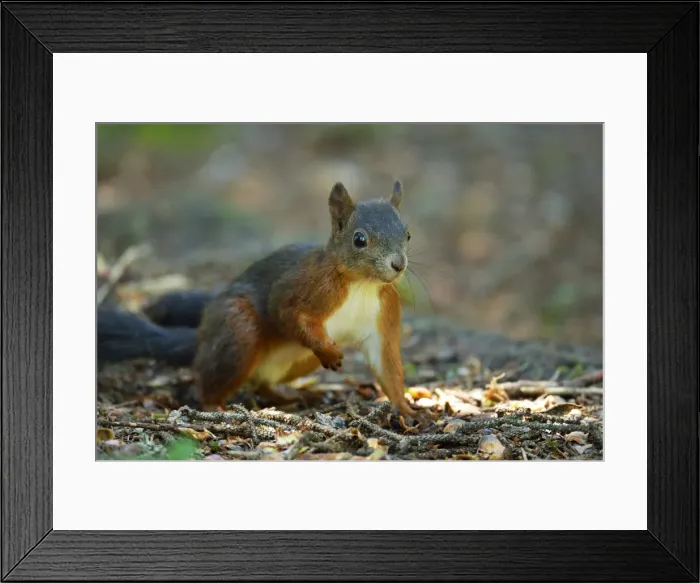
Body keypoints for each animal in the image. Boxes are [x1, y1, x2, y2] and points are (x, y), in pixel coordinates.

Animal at [98, 181, 416, 417]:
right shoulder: (302, 286)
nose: (398, 264)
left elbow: (387, 364)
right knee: (209, 380)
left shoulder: (382, 316)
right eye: (359, 239)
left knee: (261, 383)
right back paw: (216, 406)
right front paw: (326, 350)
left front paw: (406, 409)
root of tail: (202, 339)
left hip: (297, 362)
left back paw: (290, 397)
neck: (362, 285)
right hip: (239, 331)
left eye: (408, 235)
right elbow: (284, 310)